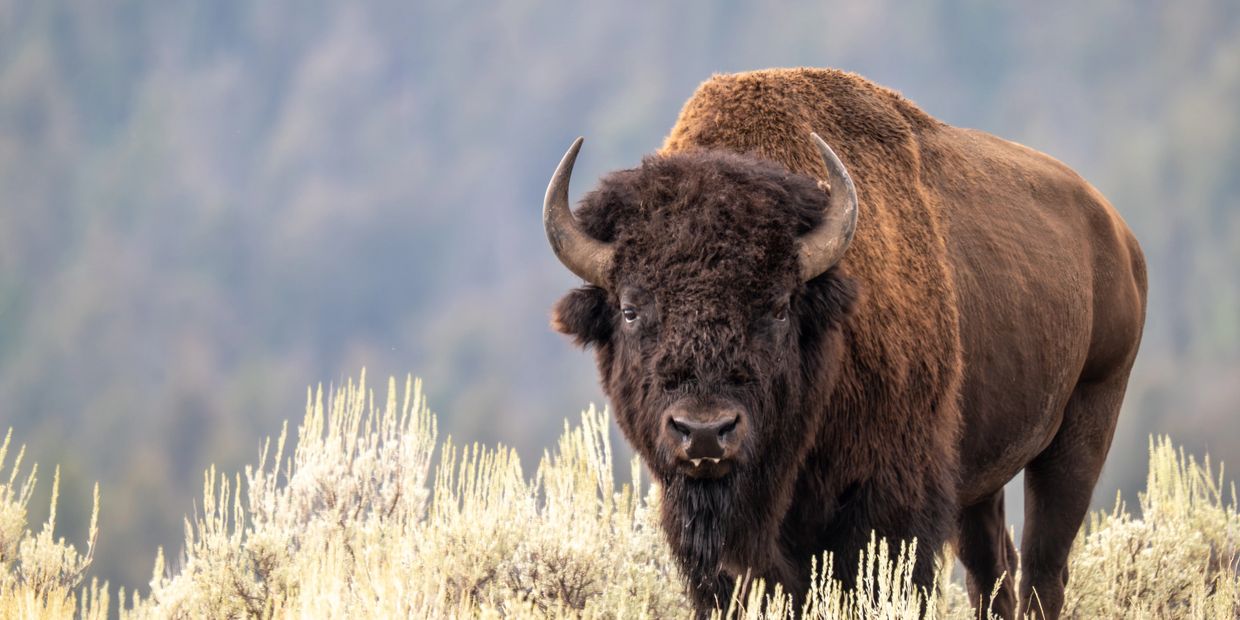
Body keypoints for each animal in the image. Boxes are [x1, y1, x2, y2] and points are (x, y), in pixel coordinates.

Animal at [544, 68, 1146, 619]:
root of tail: (1117, 234)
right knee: (991, 569)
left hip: (1085, 422)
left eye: (779, 307)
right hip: (982, 474)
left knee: (1045, 568)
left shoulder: (891, 504)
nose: (706, 432)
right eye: (630, 309)